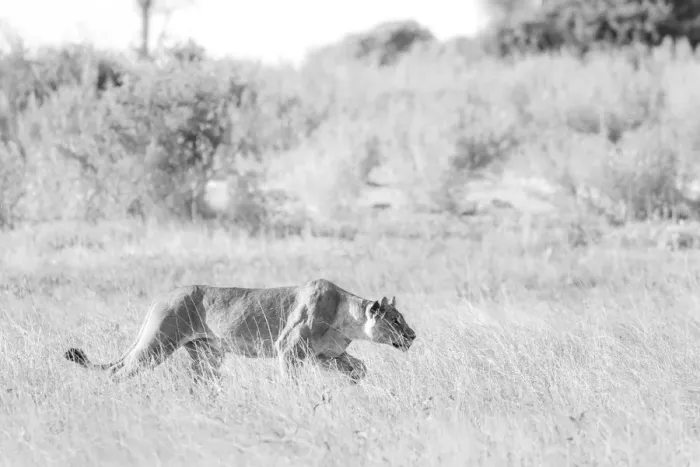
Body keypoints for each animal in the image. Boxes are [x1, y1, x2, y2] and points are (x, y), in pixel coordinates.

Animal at [64, 279, 416, 384]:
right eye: (396, 320)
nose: (413, 336)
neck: (347, 317)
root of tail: (162, 295)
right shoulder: (288, 349)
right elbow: (291, 380)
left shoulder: (326, 355)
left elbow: (359, 367)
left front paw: (354, 386)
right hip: (158, 342)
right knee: (120, 370)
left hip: (207, 354)